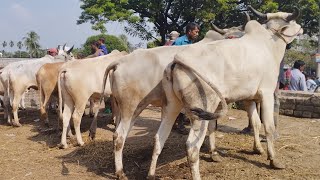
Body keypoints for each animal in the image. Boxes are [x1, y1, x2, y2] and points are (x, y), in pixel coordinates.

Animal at [152, 6, 302, 179]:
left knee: (158, 138)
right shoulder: (267, 94)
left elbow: (256, 123)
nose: (301, 28)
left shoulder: (249, 98)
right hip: (201, 111)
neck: (269, 44)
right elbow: (268, 127)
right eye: (292, 20)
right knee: (191, 147)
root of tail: (176, 61)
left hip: (173, 106)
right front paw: (273, 160)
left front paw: (257, 149)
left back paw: (150, 173)